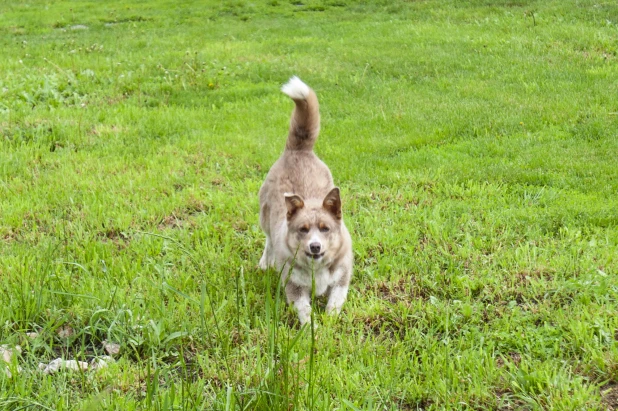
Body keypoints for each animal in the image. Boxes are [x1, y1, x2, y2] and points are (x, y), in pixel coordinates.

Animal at [256, 77, 352, 326]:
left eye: (325, 228)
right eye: (303, 229)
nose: (315, 246)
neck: (316, 269)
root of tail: (298, 149)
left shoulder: (341, 279)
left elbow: (335, 302)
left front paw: (329, 322)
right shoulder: (294, 287)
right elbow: (305, 311)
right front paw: (313, 329)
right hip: (265, 216)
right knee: (268, 240)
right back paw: (265, 262)